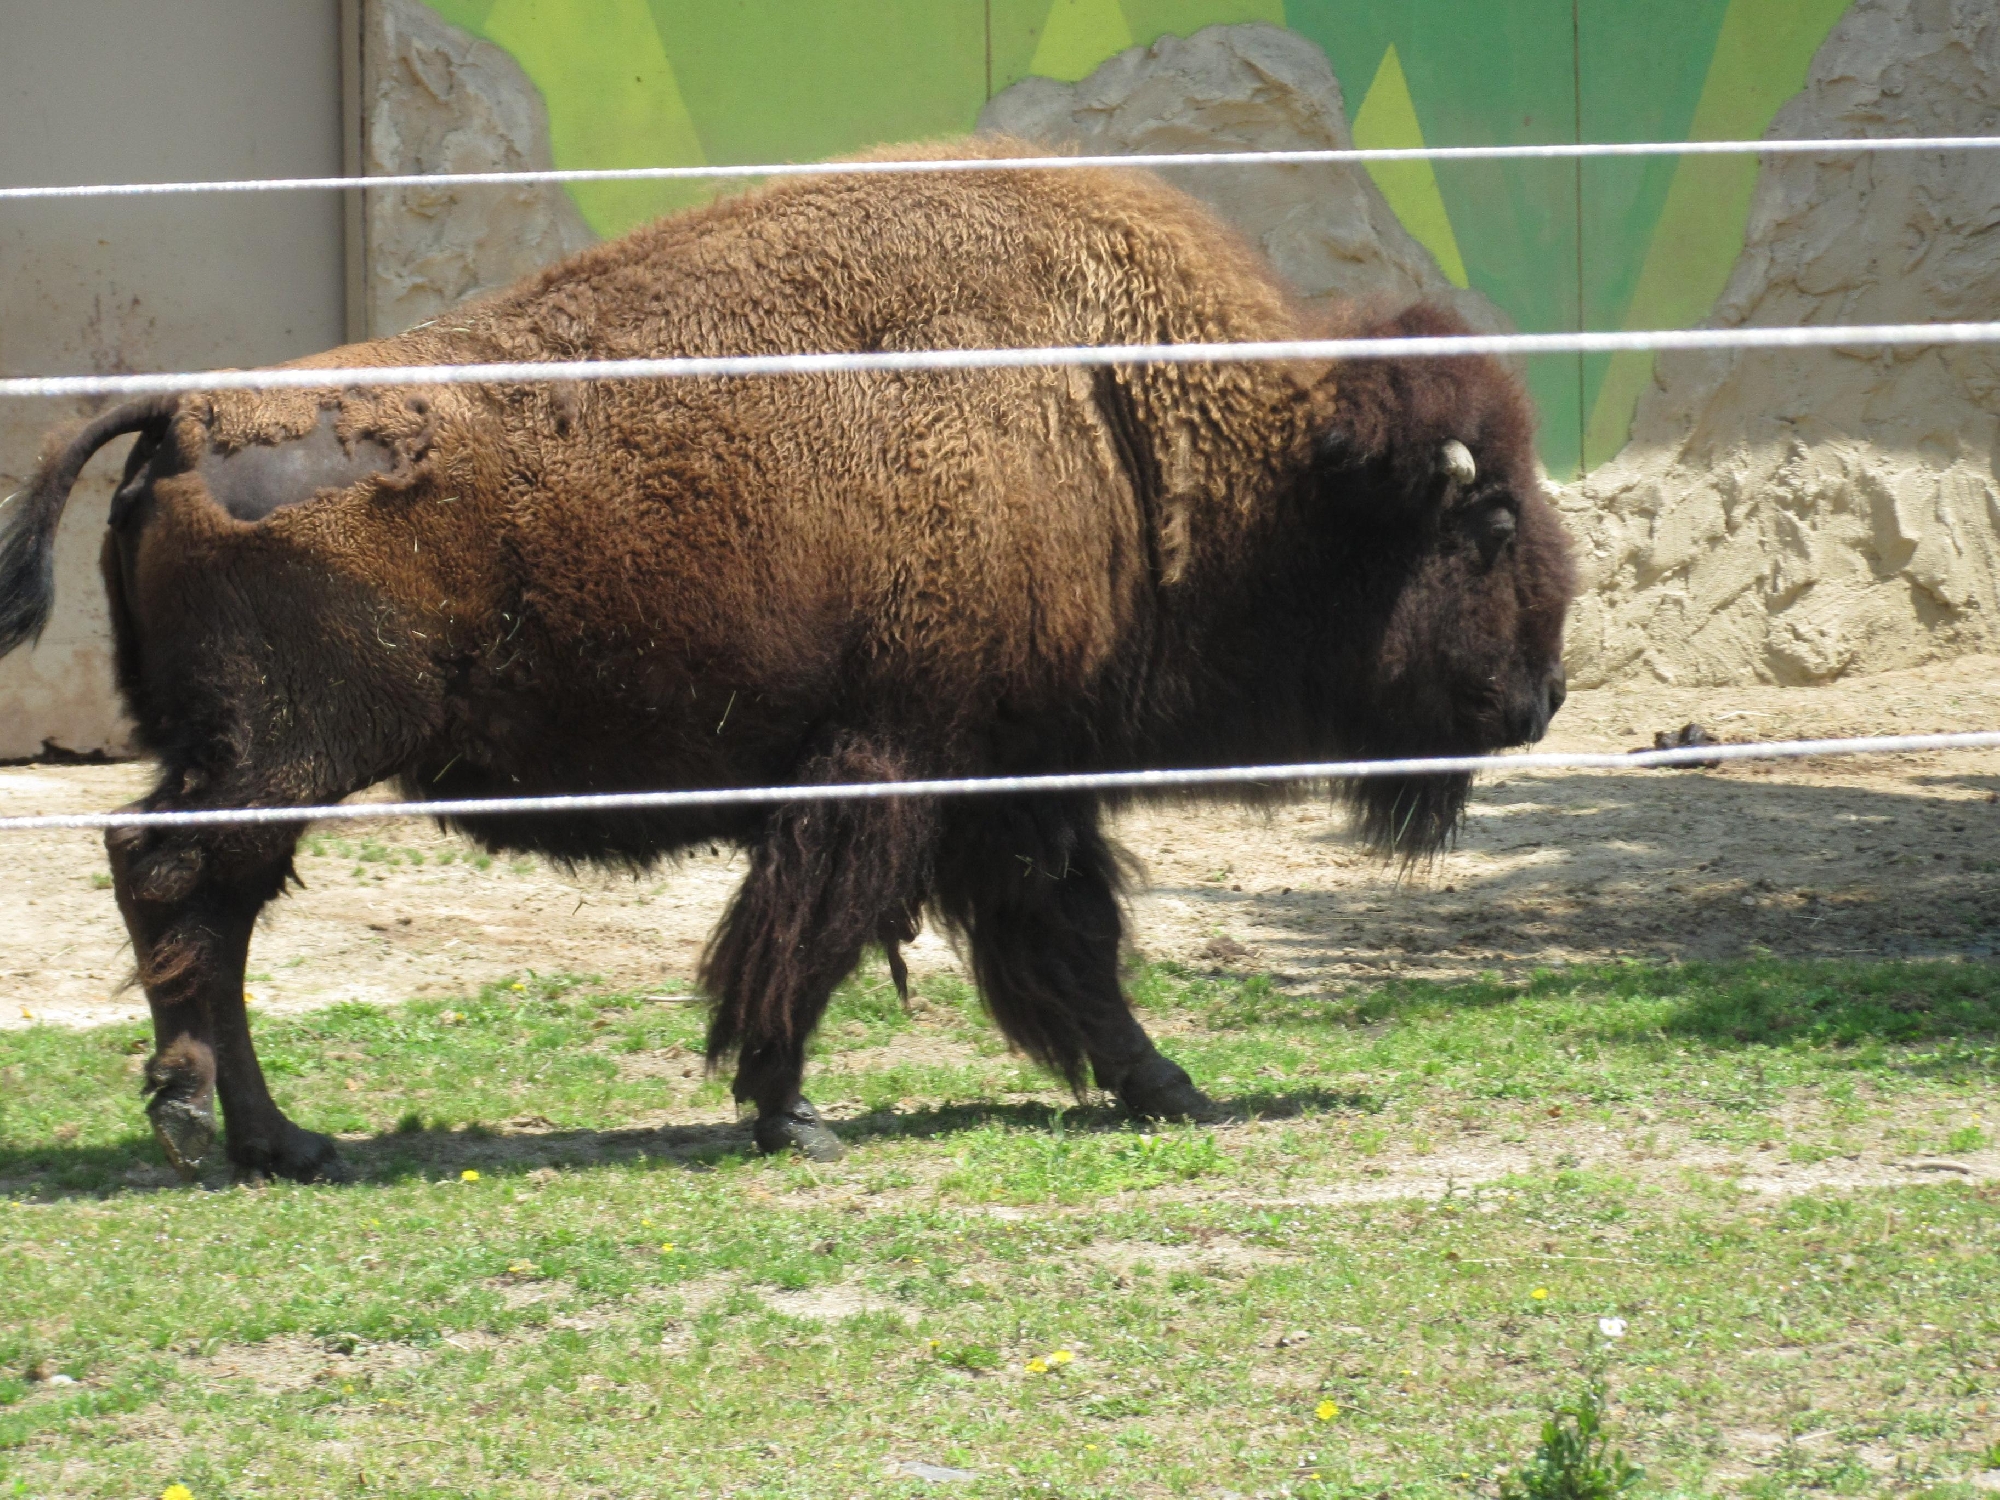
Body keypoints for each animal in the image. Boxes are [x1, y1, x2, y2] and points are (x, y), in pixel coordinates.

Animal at [3, 141, 1576, 1184]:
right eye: (1486, 520)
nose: (1545, 693)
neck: (1131, 420)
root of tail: (187, 412)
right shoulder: (896, 762)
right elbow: (813, 938)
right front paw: (789, 1112)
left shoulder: (1011, 778)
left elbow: (1068, 943)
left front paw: (1163, 1086)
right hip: (284, 755)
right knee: (178, 883)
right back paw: (209, 1123)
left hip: (256, 760)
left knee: (204, 902)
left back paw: (281, 1138)